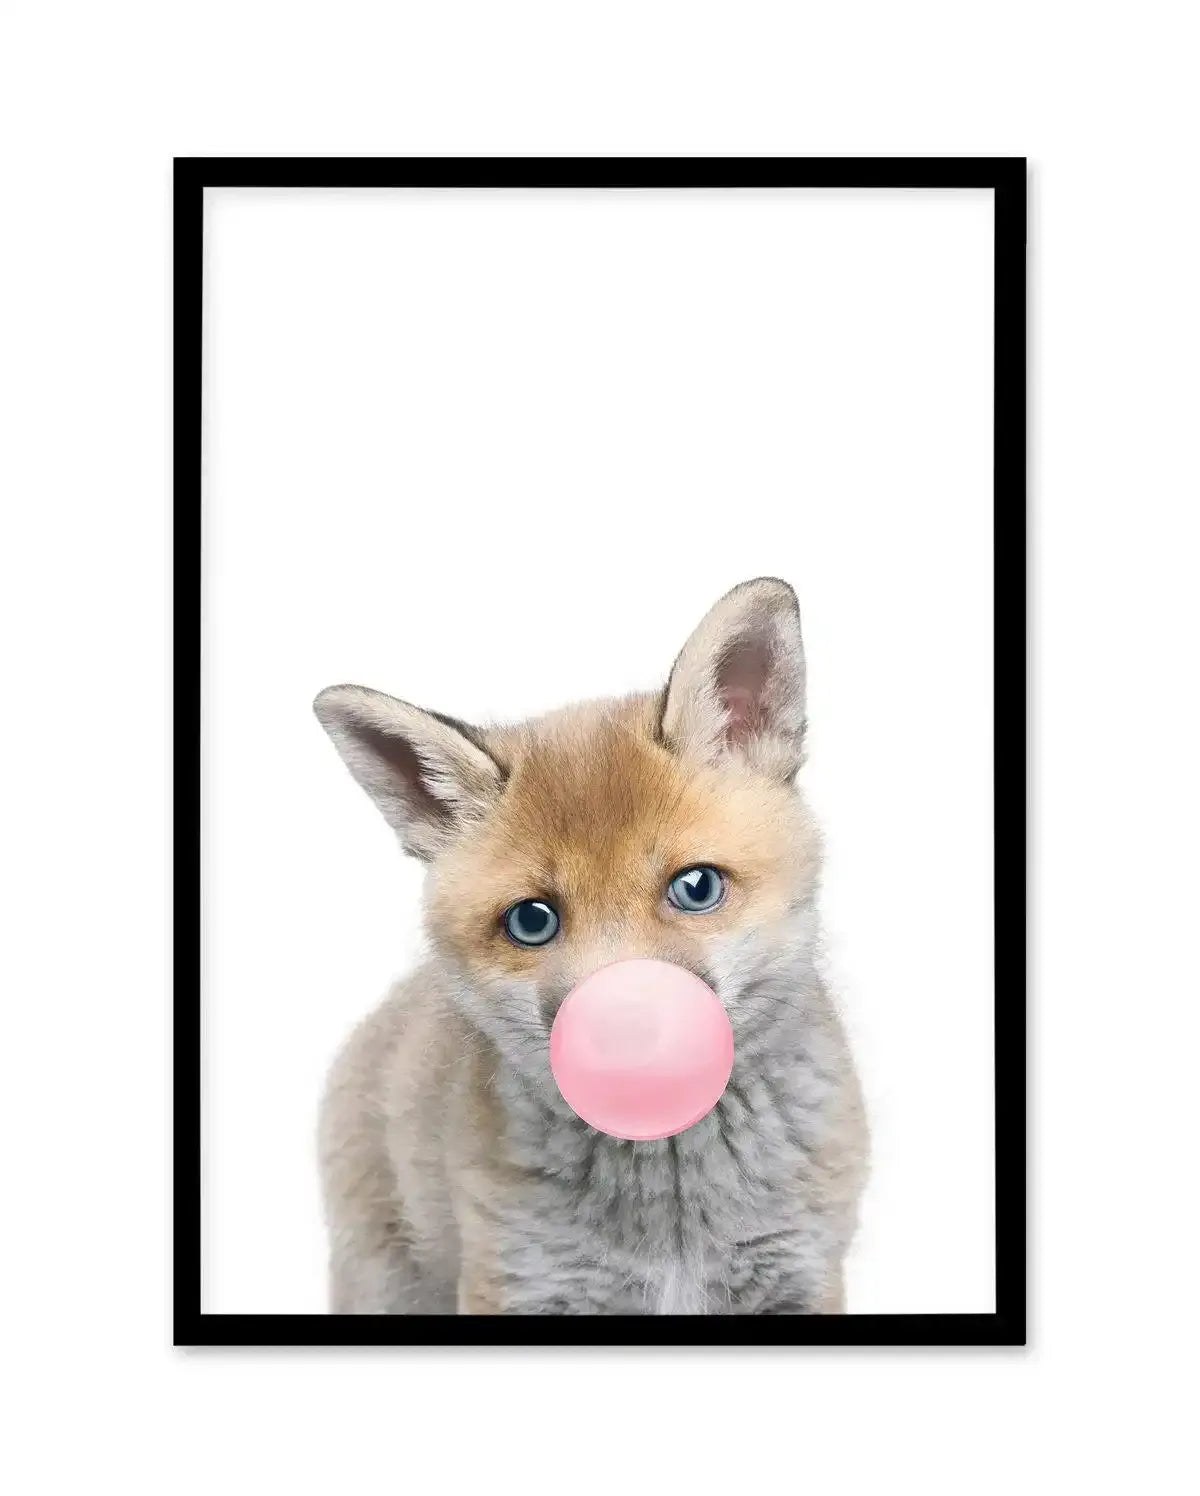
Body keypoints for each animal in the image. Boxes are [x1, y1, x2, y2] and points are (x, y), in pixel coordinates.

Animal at [313, 577, 869, 1315]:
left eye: (696, 887)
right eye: (532, 921)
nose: (624, 1036)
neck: (674, 1230)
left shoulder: (799, 1273)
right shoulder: (521, 1282)